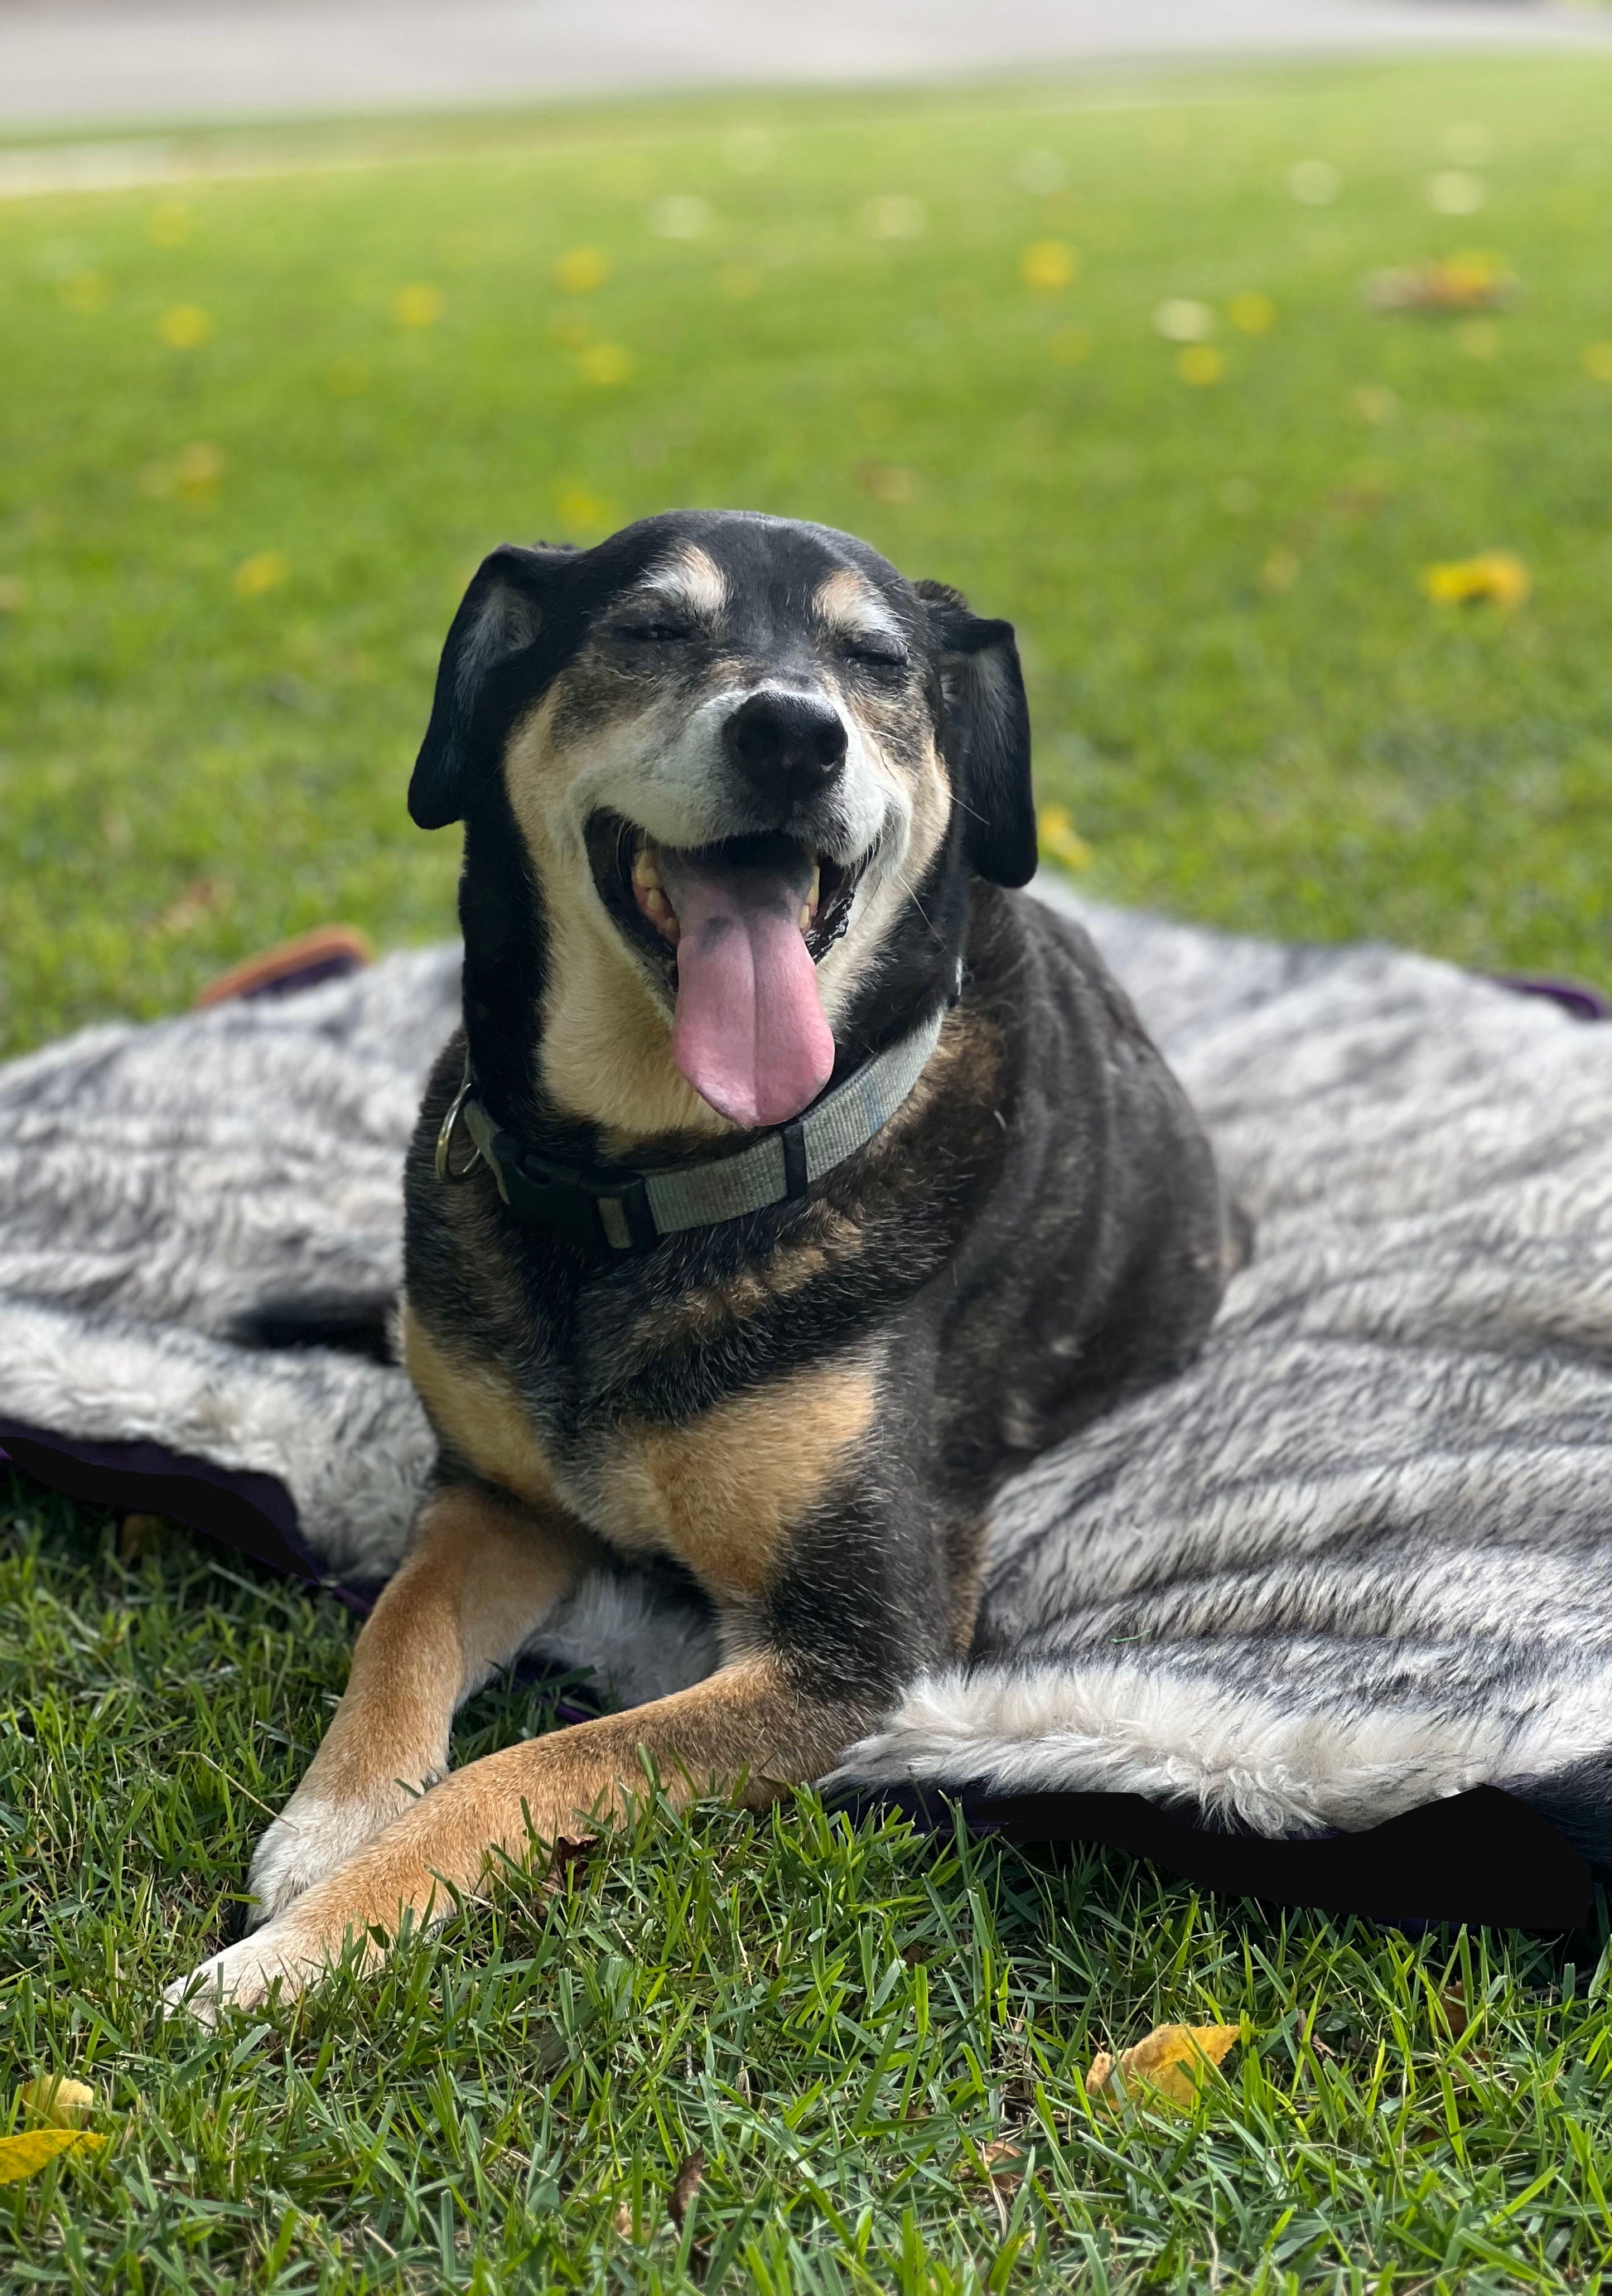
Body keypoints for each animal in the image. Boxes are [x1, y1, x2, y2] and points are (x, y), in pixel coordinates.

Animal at [176, 507, 1230, 2011]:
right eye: (652, 627)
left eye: (876, 660)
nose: (793, 735)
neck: (651, 1182)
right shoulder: (498, 1497)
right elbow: (400, 1626)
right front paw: (329, 1822)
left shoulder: (857, 1654)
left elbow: (527, 1764)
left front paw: (296, 1951)